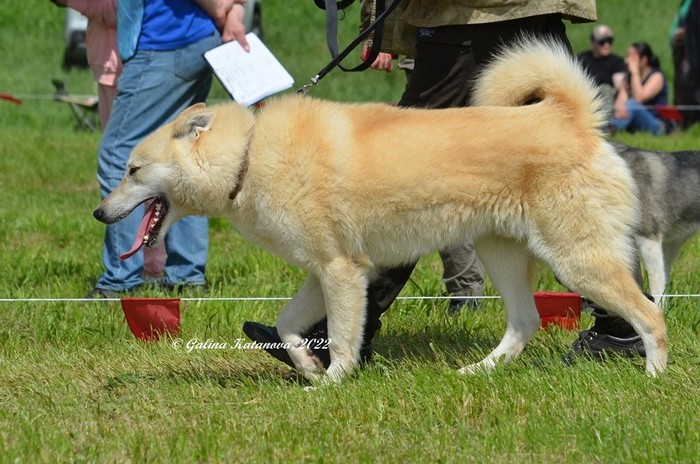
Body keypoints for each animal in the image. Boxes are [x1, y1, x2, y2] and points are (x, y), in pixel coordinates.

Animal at [94, 38, 668, 383]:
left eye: (133, 171)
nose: (99, 213)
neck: (249, 156)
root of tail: (569, 118)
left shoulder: (343, 273)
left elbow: (345, 337)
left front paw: (331, 383)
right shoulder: (324, 270)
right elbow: (286, 324)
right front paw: (306, 364)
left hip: (577, 259)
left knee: (651, 313)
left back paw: (654, 376)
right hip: (501, 254)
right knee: (525, 323)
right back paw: (478, 372)